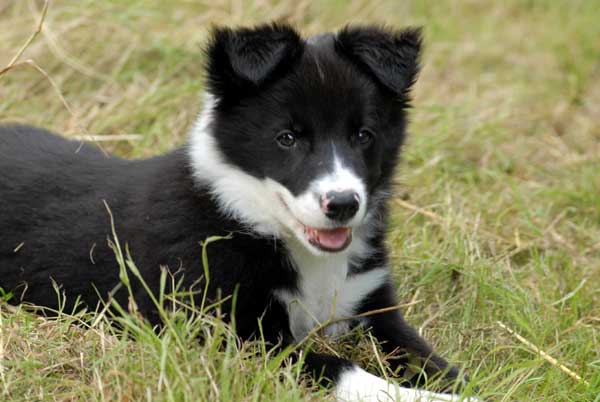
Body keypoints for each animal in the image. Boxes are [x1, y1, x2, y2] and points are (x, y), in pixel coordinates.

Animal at [0, 23, 478, 400]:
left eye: (363, 135)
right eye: (287, 138)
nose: (343, 204)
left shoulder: (374, 307)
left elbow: (425, 356)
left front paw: (462, 385)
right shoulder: (234, 334)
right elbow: (341, 367)